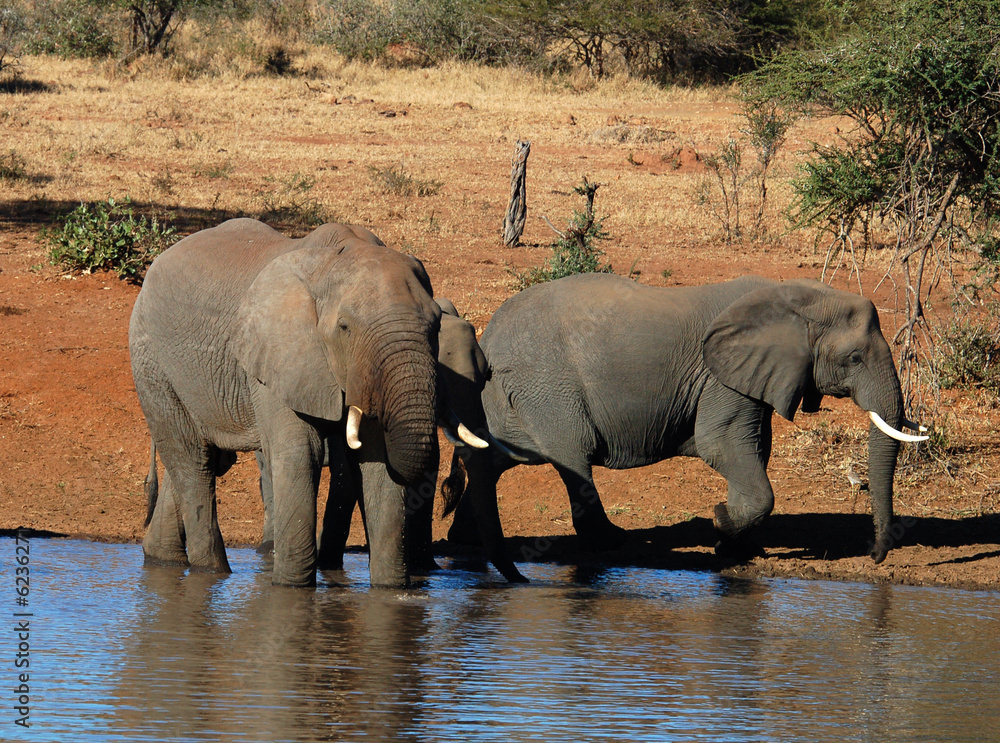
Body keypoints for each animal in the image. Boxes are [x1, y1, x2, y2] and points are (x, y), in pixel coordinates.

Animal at [130, 218, 485, 587]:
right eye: (345, 327)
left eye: (435, 326)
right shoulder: (277, 359)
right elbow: (301, 453)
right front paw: (292, 591)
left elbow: (375, 463)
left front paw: (391, 591)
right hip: (151, 360)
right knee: (192, 460)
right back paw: (211, 571)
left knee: (199, 456)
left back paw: (163, 559)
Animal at [442, 273, 928, 582]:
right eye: (854, 359)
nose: (876, 558)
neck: (796, 295)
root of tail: (489, 335)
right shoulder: (721, 379)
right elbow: (723, 447)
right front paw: (720, 525)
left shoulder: (748, 380)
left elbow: (755, 449)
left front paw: (738, 548)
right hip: (546, 386)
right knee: (572, 456)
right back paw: (611, 543)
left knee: (494, 458)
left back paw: (463, 539)